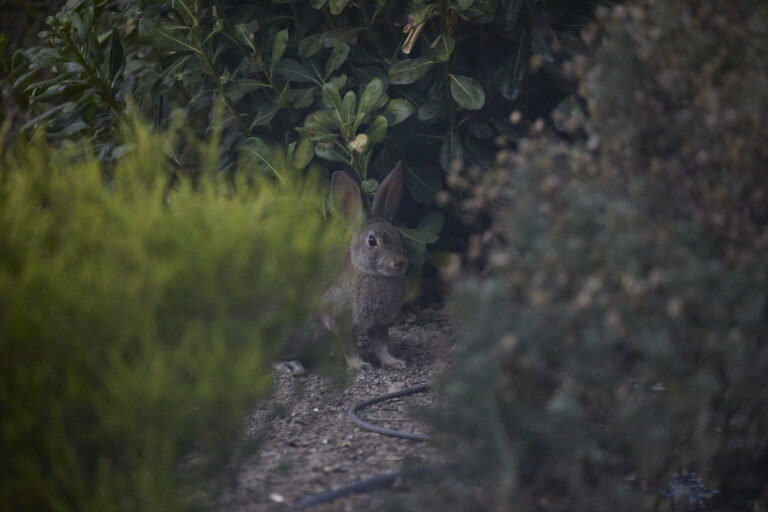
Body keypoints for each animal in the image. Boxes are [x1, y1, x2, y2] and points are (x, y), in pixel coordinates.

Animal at [321, 162, 409, 370]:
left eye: (398, 235)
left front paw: (394, 362)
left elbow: (382, 345)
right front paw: (359, 366)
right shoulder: (335, 318)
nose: (400, 262)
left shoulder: (378, 323)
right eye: (372, 241)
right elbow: (348, 345)